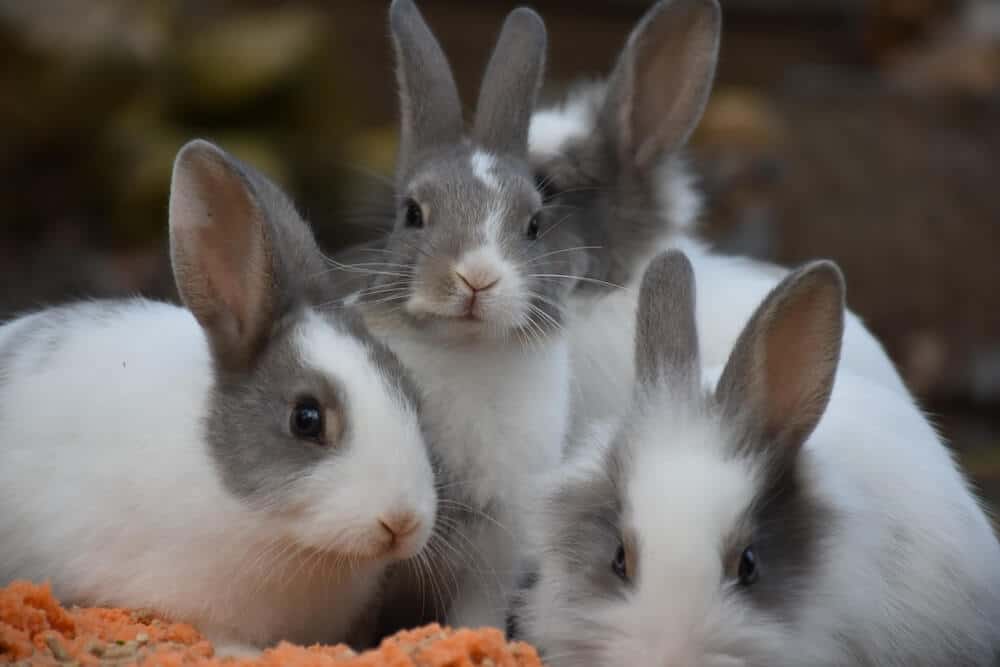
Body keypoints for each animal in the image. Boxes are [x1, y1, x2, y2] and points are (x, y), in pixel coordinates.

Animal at [328, 0, 580, 636]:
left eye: (534, 225)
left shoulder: (494, 550)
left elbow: (477, 613)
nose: (476, 277)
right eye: (413, 214)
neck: (467, 350)